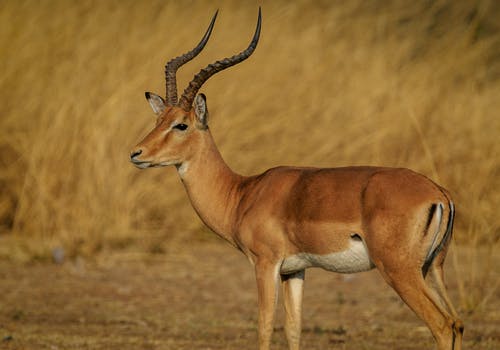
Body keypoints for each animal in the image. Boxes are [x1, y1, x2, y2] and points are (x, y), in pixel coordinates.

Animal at [130, 8, 464, 350]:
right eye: (159, 120)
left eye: (181, 125)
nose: (137, 153)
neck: (242, 194)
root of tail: (439, 194)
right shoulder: (295, 271)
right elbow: (293, 328)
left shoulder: (266, 264)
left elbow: (265, 327)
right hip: (432, 268)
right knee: (457, 322)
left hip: (400, 271)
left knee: (442, 325)